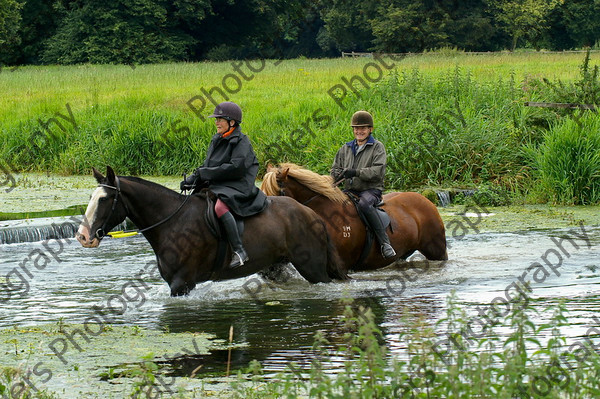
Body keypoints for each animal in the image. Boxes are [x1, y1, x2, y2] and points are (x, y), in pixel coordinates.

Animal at [76, 166, 346, 296]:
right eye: (91, 197)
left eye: (104, 199)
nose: (83, 237)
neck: (171, 222)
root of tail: (311, 213)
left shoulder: (181, 284)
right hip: (277, 267)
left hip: (313, 269)